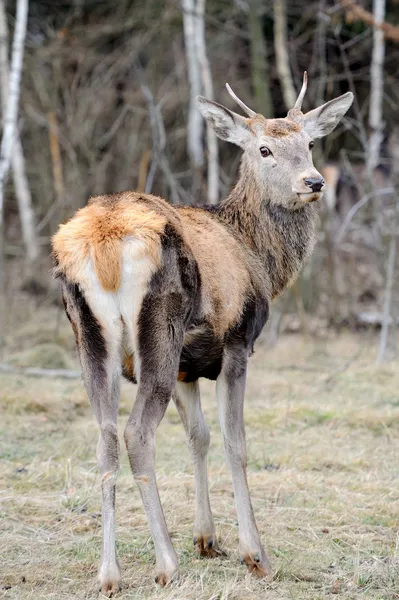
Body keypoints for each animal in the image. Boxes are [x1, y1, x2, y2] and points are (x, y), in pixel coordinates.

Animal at [52, 75, 354, 596]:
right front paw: (255, 554)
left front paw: (208, 539)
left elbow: (199, 436)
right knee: (136, 433)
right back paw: (166, 564)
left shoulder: (188, 367)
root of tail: (104, 242)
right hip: (160, 325)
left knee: (105, 436)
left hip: (90, 336)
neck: (258, 255)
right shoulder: (235, 341)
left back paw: (109, 574)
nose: (313, 183)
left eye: (310, 143)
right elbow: (235, 442)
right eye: (264, 148)